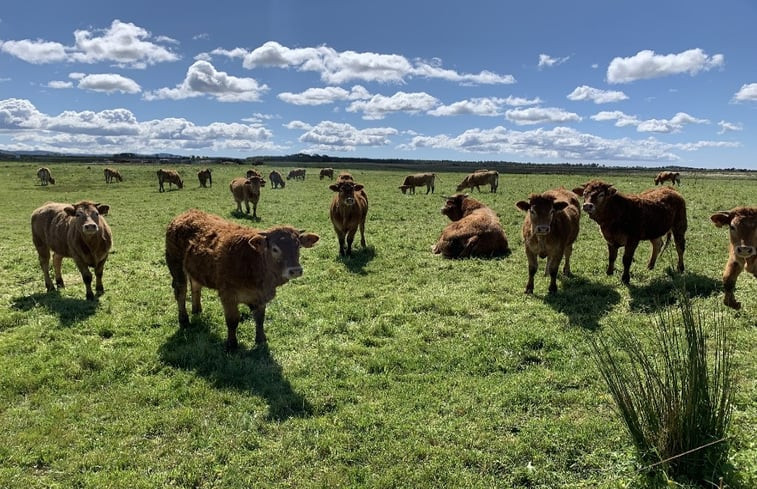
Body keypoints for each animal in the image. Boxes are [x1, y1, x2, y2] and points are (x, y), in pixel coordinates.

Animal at [165, 208, 318, 348]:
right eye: (275, 249)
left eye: (298, 246)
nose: (295, 270)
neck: (252, 262)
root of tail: (186, 214)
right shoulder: (228, 295)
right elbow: (232, 321)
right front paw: (232, 345)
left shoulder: (260, 297)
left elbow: (260, 319)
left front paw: (261, 340)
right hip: (176, 266)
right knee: (181, 292)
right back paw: (184, 320)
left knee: (196, 286)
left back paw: (197, 310)